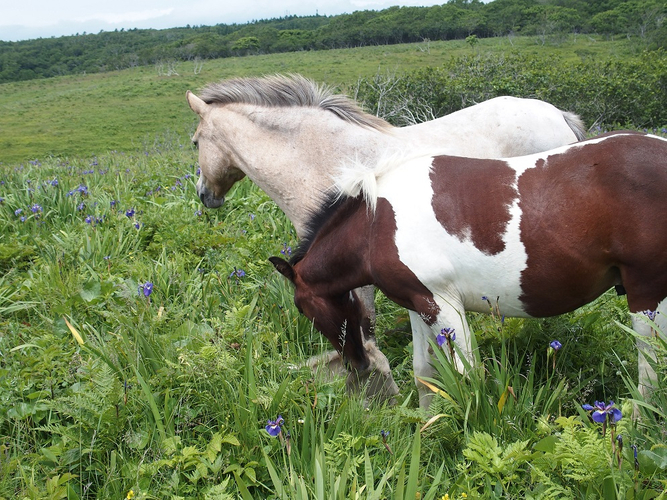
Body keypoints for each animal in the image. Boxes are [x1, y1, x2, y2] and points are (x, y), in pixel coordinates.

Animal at [272, 131, 667, 408]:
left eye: (301, 308)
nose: (358, 365)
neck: (375, 223)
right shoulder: (419, 304)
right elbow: (424, 371)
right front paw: (427, 429)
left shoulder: (442, 304)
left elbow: (467, 374)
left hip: (647, 292)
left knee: (650, 372)